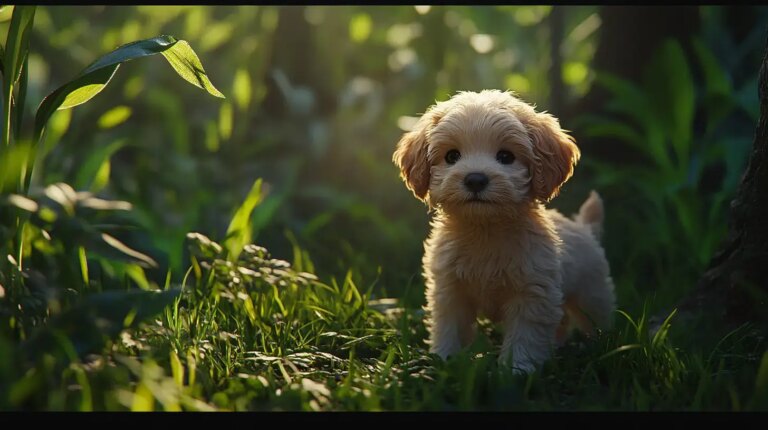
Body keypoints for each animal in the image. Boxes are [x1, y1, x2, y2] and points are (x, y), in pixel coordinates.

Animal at [392, 88, 616, 372]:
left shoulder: (532, 295)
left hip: (593, 293)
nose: (475, 179)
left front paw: (517, 371)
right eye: (452, 156)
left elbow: (525, 336)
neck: (486, 230)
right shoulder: (450, 290)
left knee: (596, 319)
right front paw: (444, 360)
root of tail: (584, 227)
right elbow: (449, 328)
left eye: (506, 157)